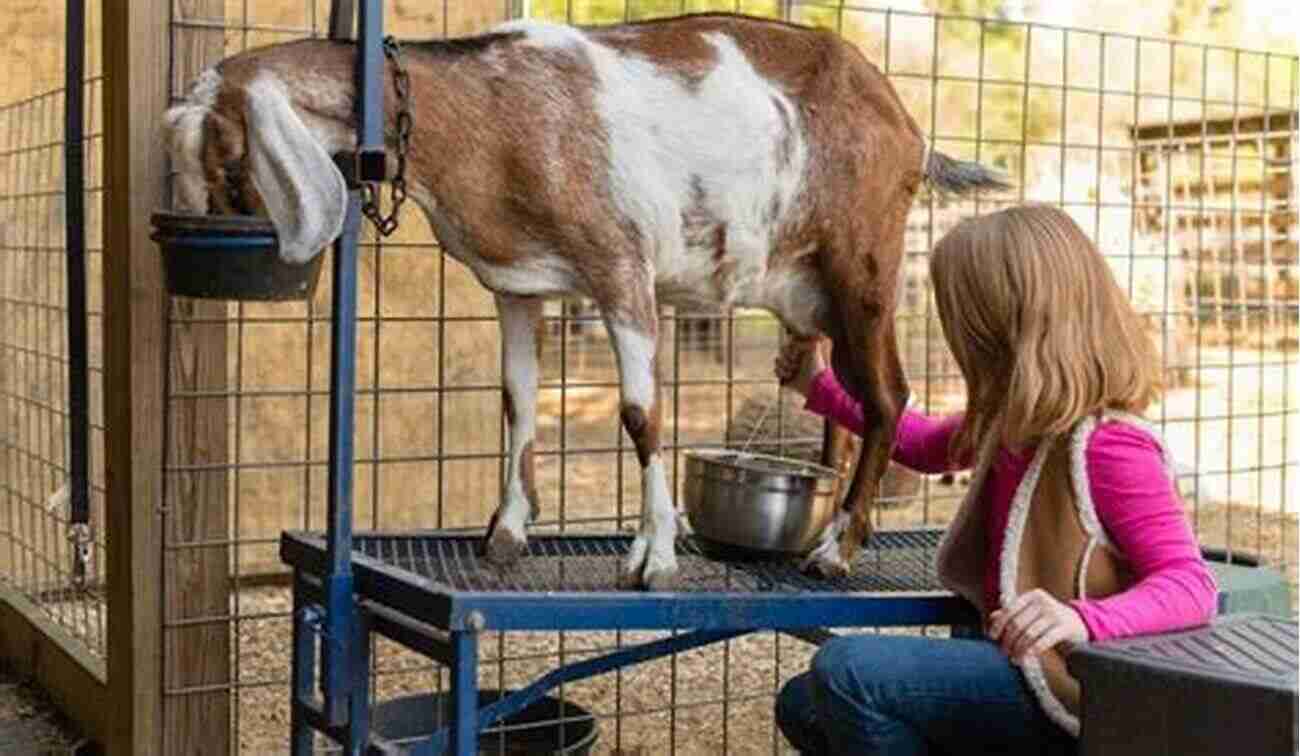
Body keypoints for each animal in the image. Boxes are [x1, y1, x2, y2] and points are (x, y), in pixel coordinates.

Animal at [162, 13, 1003, 592]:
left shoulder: (621, 269)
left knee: (889, 397)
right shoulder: (520, 286)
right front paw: (506, 532)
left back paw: (836, 550)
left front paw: (654, 555)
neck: (493, 118)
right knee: (850, 402)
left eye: (229, 162)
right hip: (810, 291)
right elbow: (518, 401)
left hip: (866, 267)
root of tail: (906, 122)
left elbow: (640, 416)